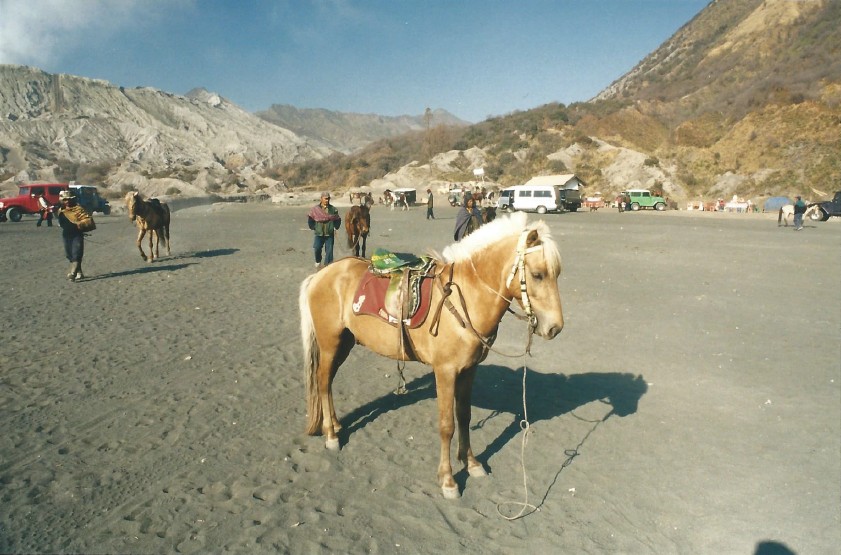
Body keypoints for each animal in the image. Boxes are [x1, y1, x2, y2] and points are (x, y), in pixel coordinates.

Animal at [296, 213, 564, 500]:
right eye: (537, 275)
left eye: (556, 274)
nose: (555, 328)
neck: (466, 297)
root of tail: (321, 274)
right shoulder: (445, 371)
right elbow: (447, 425)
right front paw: (448, 480)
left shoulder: (469, 370)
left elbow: (464, 416)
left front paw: (471, 463)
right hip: (330, 342)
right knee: (323, 381)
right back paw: (330, 436)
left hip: (344, 344)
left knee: (327, 382)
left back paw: (335, 425)